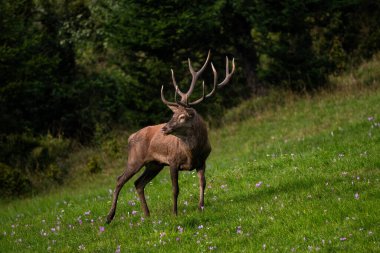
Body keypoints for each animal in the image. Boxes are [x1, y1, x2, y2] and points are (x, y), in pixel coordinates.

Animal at [105, 52, 233, 223]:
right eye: (173, 114)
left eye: (182, 117)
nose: (164, 128)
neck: (192, 153)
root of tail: (130, 137)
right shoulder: (172, 161)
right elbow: (175, 189)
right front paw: (175, 213)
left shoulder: (202, 161)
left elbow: (203, 183)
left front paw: (201, 207)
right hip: (135, 159)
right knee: (120, 179)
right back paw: (109, 217)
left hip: (154, 164)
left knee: (138, 183)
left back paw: (147, 214)